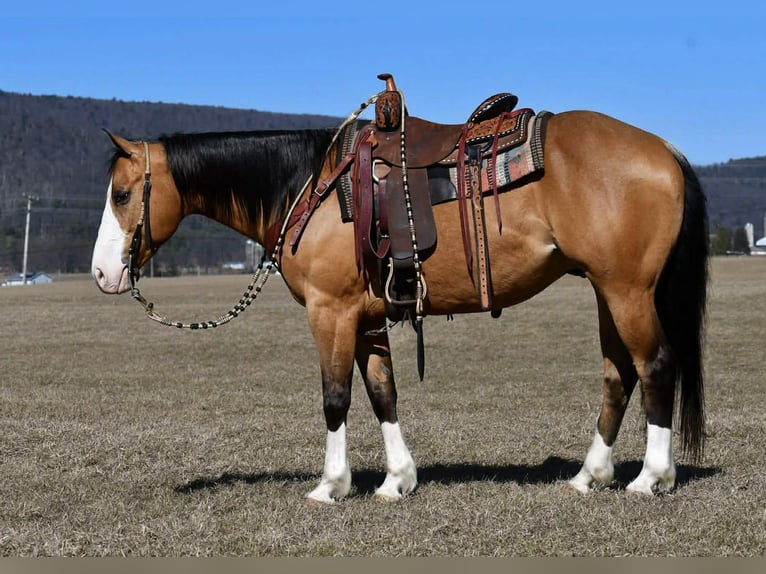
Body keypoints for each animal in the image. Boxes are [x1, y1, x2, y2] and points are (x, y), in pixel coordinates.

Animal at [91, 82, 708, 504]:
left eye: (122, 194)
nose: (101, 274)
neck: (307, 186)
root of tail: (664, 149)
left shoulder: (331, 311)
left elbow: (335, 397)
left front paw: (331, 486)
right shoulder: (366, 316)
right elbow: (382, 393)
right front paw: (396, 481)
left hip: (628, 291)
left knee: (655, 365)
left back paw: (651, 478)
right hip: (609, 291)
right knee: (619, 374)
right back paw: (588, 476)